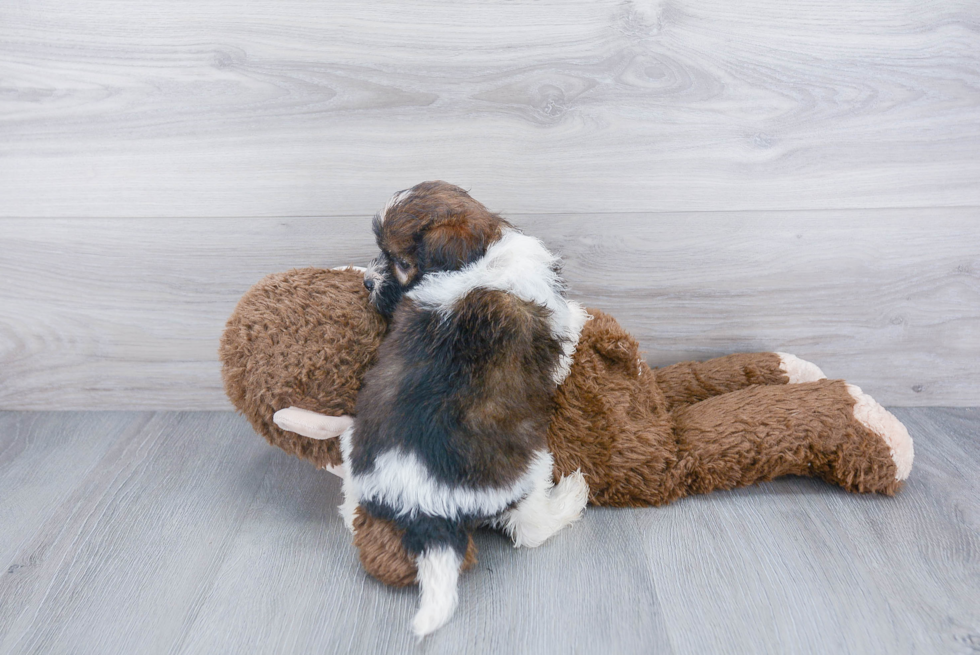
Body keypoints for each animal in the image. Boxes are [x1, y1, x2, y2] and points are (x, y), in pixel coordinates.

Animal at [336, 182, 588, 640]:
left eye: (400, 263)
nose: (366, 281)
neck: (480, 258)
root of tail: (423, 510)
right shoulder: (553, 331)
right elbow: (569, 332)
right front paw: (584, 314)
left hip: (356, 451)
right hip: (523, 471)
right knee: (530, 528)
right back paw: (571, 497)